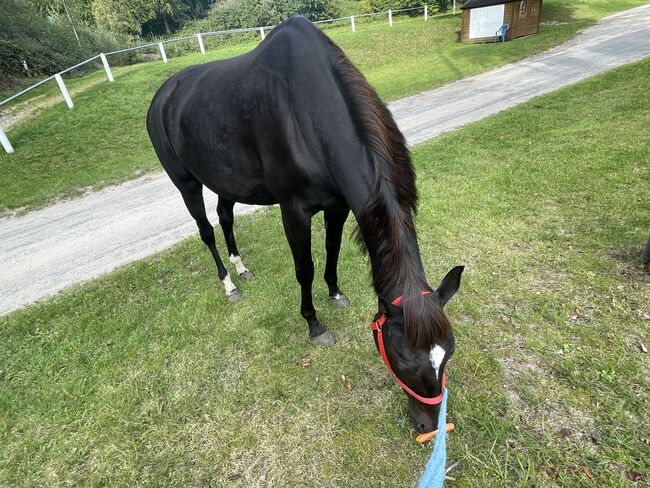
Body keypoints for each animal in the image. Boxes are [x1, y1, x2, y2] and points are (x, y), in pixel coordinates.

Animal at [147, 17, 460, 432]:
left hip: (225, 181)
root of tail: (161, 96)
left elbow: (332, 251)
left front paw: (335, 293)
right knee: (207, 231)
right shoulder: (293, 211)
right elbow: (305, 269)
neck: (309, 113)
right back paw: (229, 284)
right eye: (403, 360)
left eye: (448, 354)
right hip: (186, 183)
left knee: (225, 217)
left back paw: (241, 268)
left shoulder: (338, 206)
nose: (429, 426)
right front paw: (314, 325)